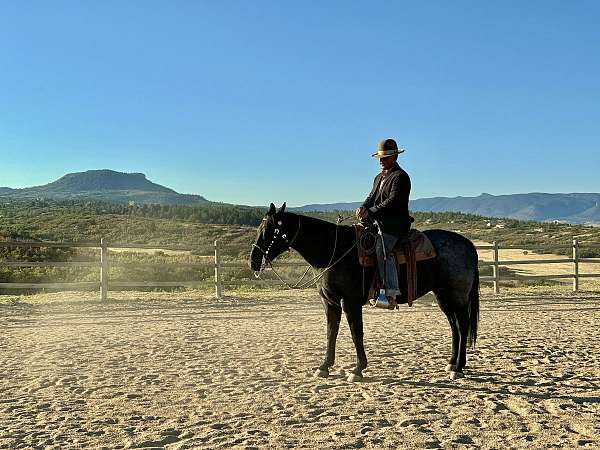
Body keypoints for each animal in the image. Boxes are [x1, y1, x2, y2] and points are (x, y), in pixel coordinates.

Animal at [247, 202, 478, 382]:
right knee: (454, 327)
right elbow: (331, 331)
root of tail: (468, 244)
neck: (334, 251)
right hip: (442, 296)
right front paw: (324, 366)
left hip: (457, 296)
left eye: (270, 230)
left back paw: (458, 368)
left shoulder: (350, 302)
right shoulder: (330, 302)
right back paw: (452, 363)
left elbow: (356, 332)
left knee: (462, 325)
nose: (253, 262)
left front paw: (358, 369)